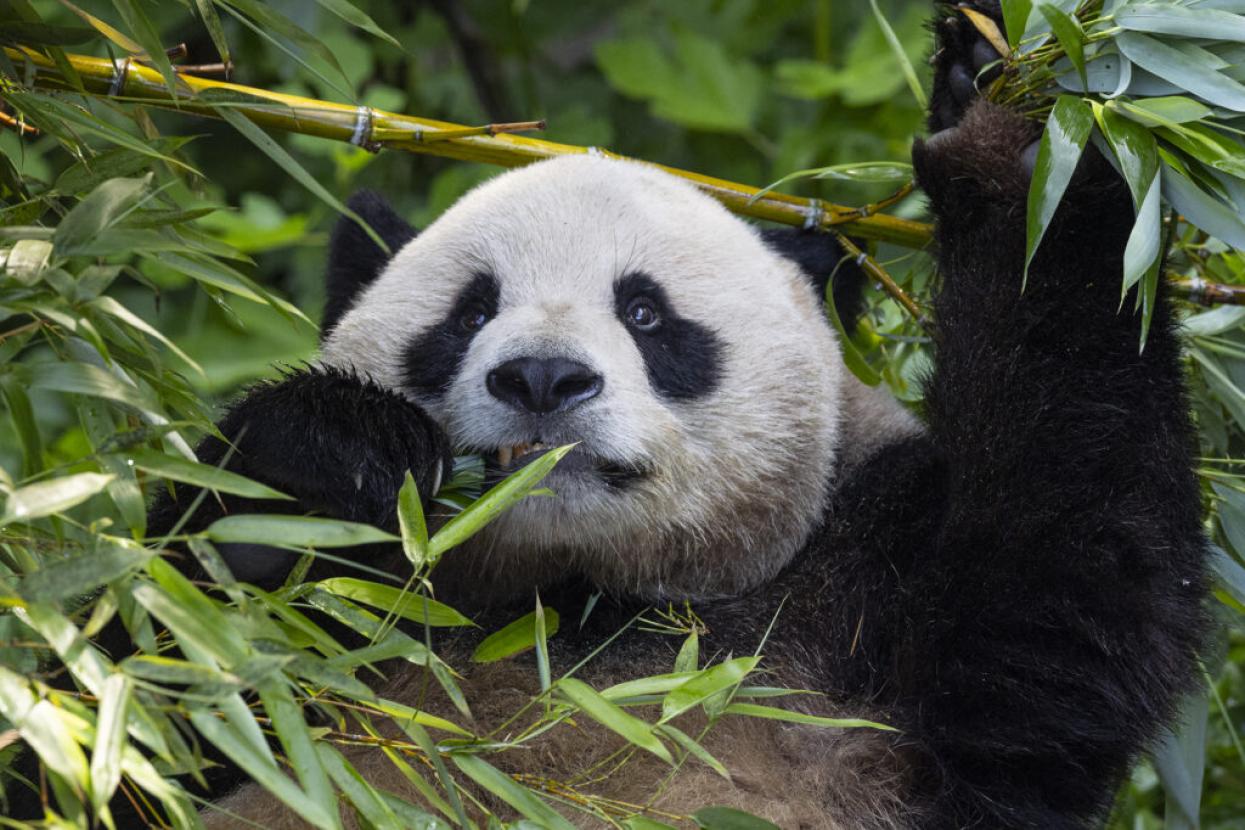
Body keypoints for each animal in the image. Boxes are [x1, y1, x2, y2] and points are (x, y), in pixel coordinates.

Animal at [7, 2, 1211, 828]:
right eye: (470, 310)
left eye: (645, 312)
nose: (542, 379)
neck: (573, 602)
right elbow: (112, 705)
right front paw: (330, 461)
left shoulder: (872, 602)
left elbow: (1075, 583)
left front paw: (1009, 115)